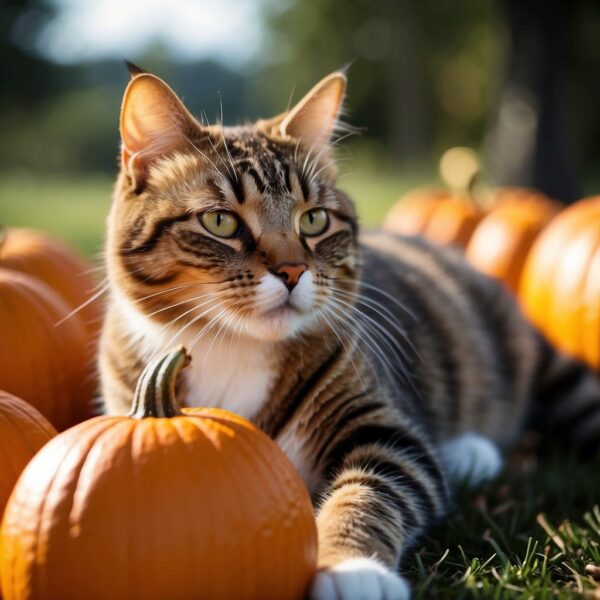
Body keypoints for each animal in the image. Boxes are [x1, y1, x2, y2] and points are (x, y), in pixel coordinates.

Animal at [99, 63, 600, 596]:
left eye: (314, 220)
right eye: (220, 222)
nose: (293, 271)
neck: (234, 347)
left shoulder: (378, 425)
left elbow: (373, 489)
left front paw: (351, 568)